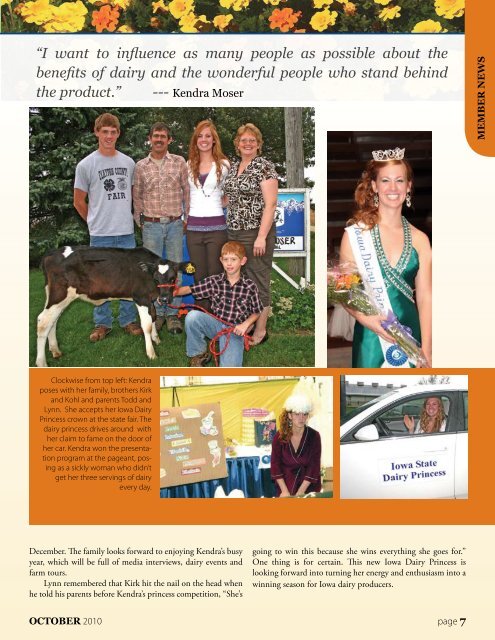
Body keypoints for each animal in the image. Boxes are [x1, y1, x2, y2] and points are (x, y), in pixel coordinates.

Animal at [35, 245, 191, 364]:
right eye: (156, 278)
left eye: (173, 278)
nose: (165, 299)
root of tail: (51, 253)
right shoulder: (141, 298)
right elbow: (146, 325)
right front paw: (151, 353)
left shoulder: (149, 299)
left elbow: (153, 316)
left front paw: (156, 339)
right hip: (60, 295)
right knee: (43, 322)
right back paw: (42, 363)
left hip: (56, 298)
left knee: (53, 321)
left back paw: (55, 350)